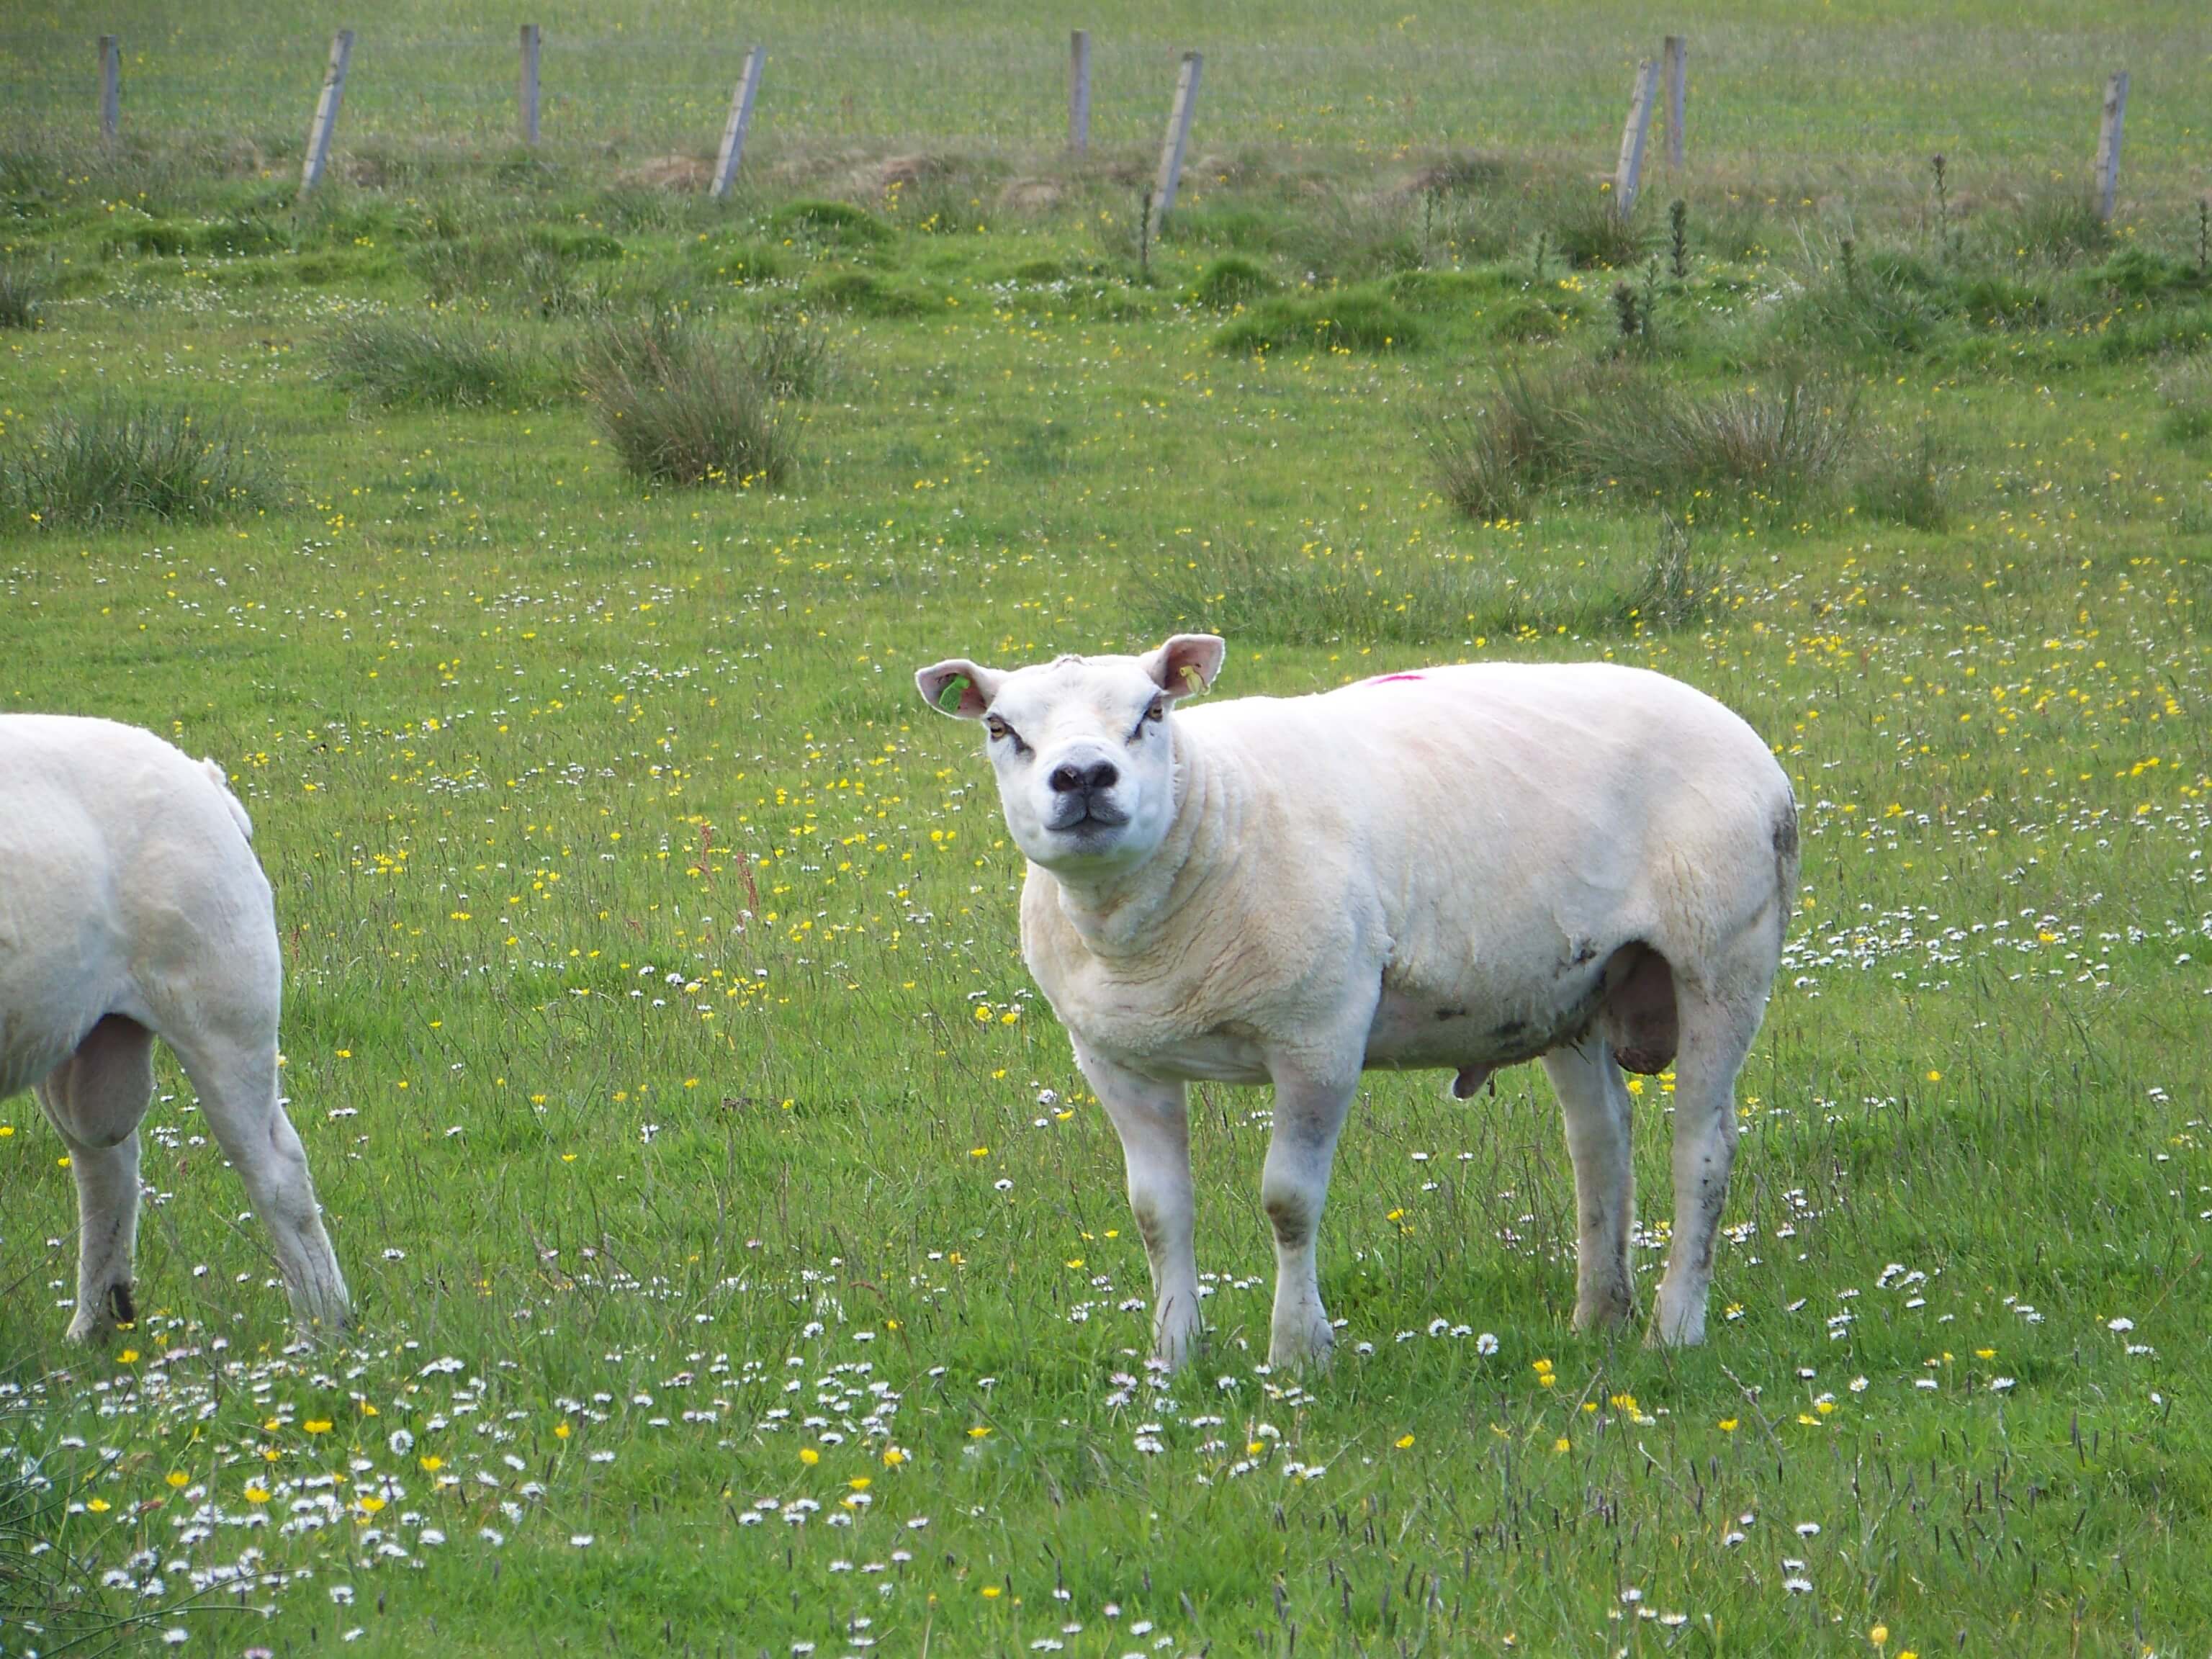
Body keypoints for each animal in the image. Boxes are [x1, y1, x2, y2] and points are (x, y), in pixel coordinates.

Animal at [1, 715, 349, 1342]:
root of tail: (200, 776)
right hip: (77, 1040)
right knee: (106, 1168)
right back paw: (92, 1329)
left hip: (223, 1011)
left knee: (277, 1169)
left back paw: (322, 1329)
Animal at [917, 636, 1797, 1368]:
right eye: (1000, 727)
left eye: (1152, 712)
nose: (1083, 778)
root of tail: (1736, 729)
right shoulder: (1115, 1062)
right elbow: (1156, 1213)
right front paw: (1173, 1359)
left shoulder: (1319, 1040)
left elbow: (1288, 1203)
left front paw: (1298, 1353)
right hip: (1572, 987)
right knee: (1601, 1142)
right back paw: (1598, 1317)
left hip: (1724, 958)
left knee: (1703, 1149)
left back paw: (1674, 1327)